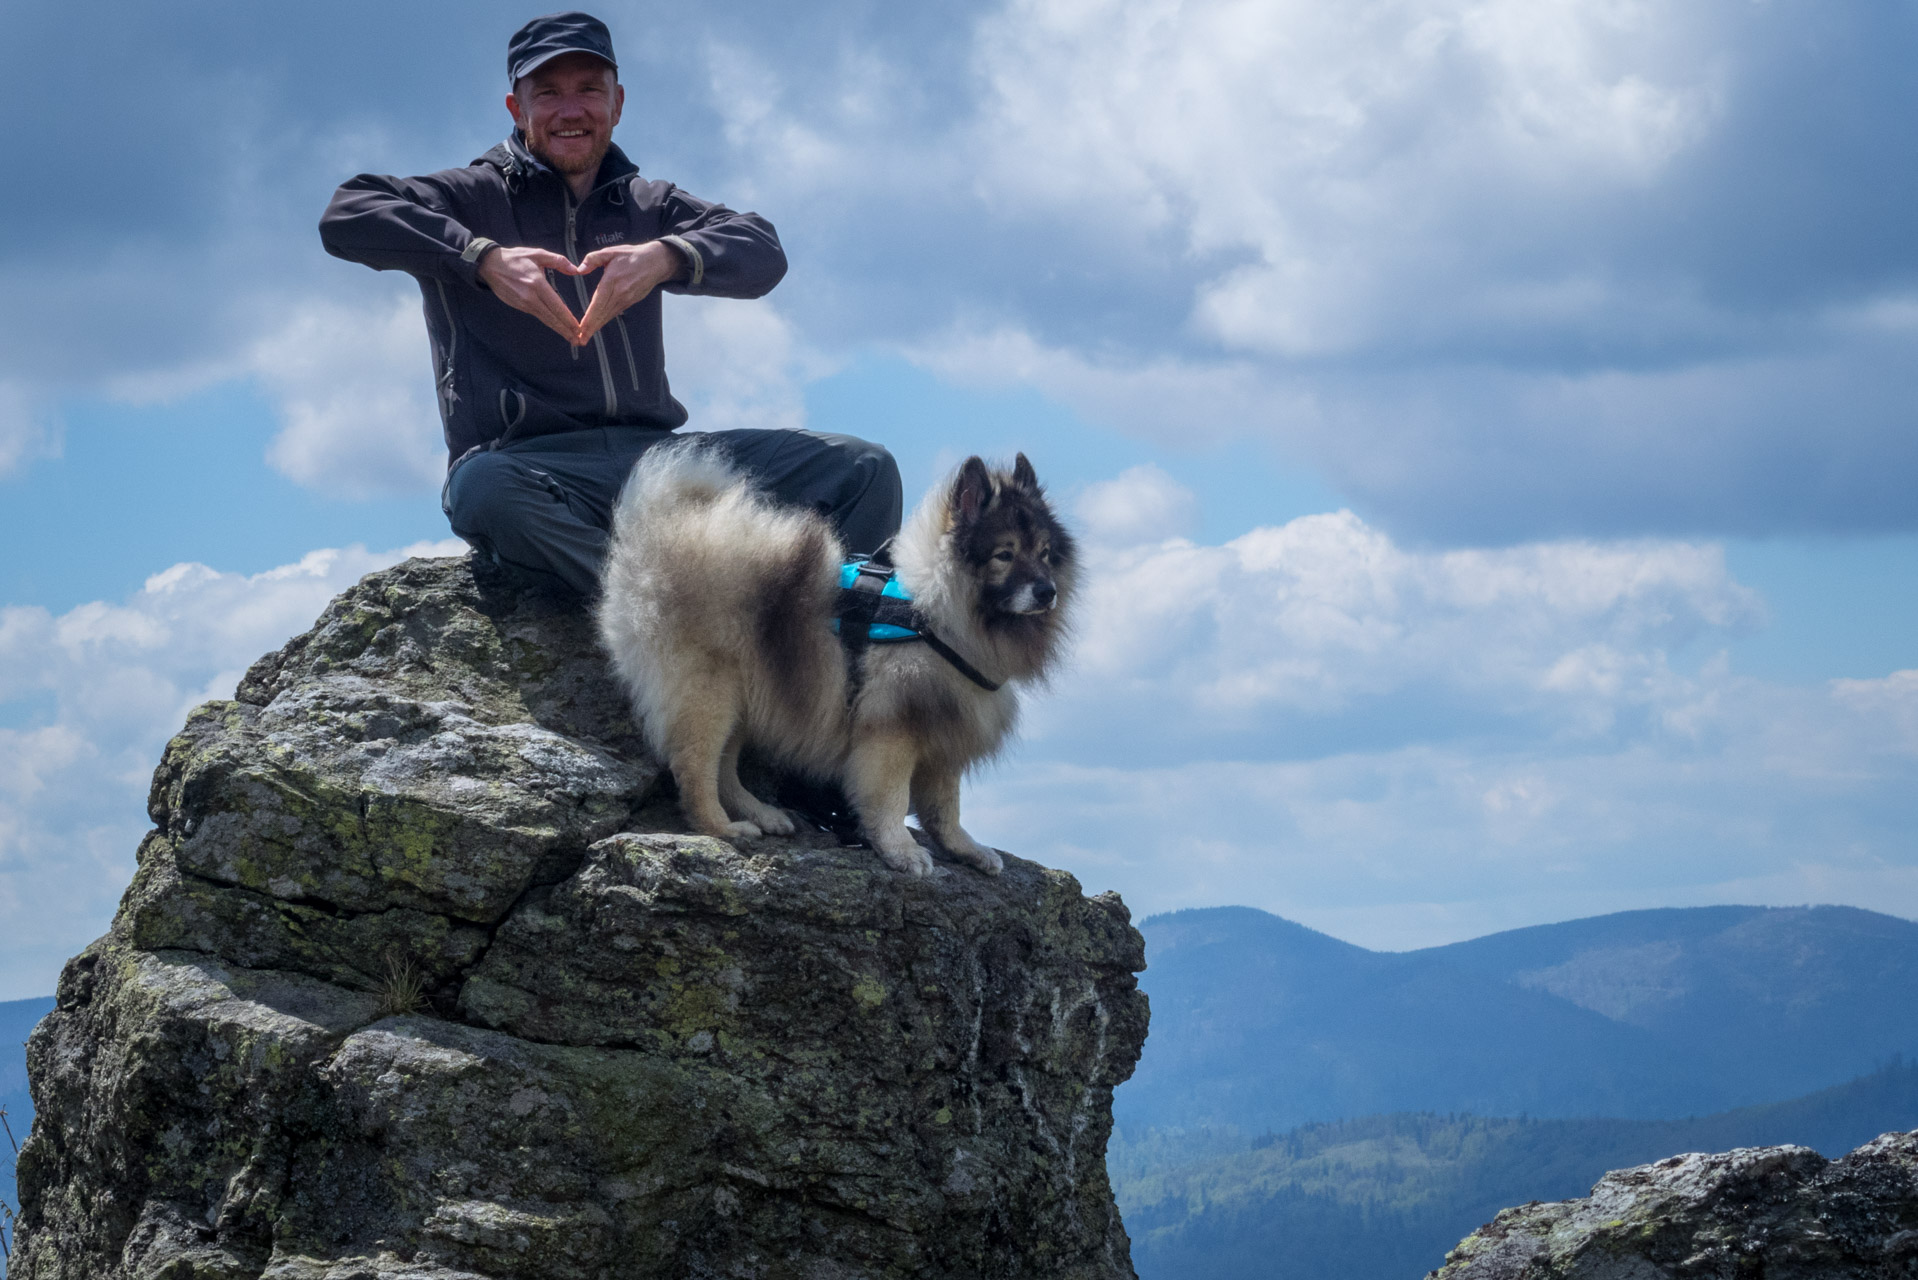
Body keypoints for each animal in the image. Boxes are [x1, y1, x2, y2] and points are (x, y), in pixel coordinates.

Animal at [598, 435, 1081, 875]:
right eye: (1004, 554)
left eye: (1044, 553)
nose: (1047, 591)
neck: (933, 612)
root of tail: (662, 528)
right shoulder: (892, 732)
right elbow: (891, 800)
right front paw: (902, 851)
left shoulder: (944, 730)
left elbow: (945, 808)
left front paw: (965, 849)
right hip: (709, 694)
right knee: (695, 767)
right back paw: (722, 827)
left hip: (744, 694)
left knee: (725, 768)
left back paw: (761, 813)